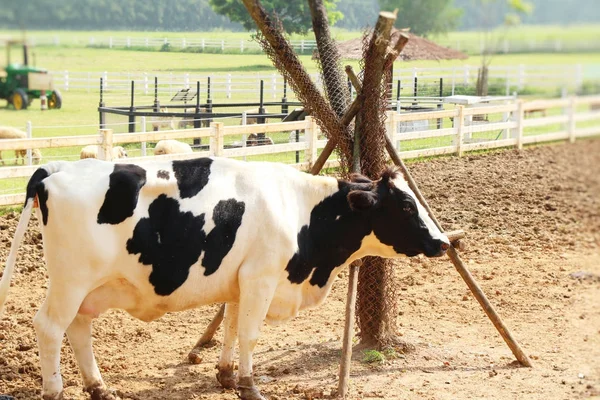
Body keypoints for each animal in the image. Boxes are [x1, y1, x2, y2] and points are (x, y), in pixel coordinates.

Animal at [0, 156, 450, 400]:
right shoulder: (261, 277)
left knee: (78, 328)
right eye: (406, 207)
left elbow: (232, 327)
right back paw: (55, 389)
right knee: (49, 327)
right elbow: (250, 334)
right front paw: (249, 385)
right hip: (70, 281)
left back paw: (98, 386)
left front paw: (226, 375)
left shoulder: (240, 282)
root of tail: (55, 169)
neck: (299, 210)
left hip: (87, 288)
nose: (444, 242)